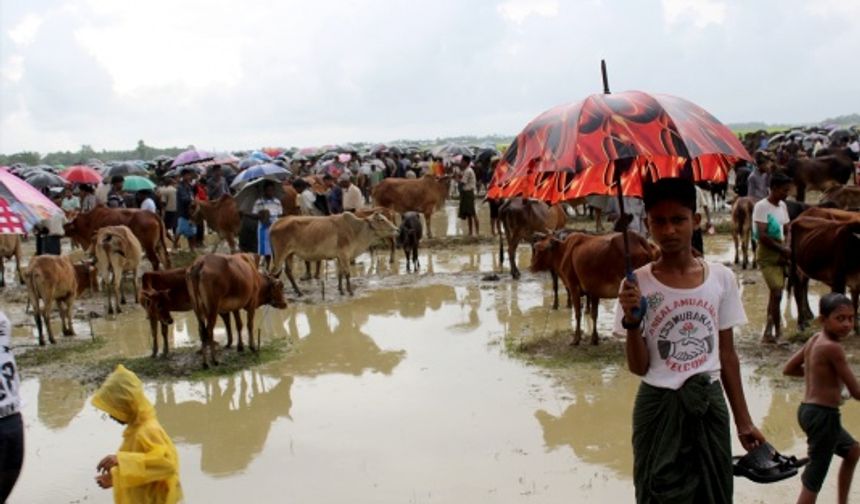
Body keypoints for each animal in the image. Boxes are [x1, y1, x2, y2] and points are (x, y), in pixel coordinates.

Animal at [268, 212, 400, 298]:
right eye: (381, 220)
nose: (397, 229)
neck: (355, 230)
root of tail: (274, 224)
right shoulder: (344, 254)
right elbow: (347, 273)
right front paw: (350, 291)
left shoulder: (340, 256)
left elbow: (340, 273)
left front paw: (341, 290)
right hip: (280, 255)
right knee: (272, 274)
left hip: (289, 254)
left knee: (288, 272)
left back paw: (299, 292)